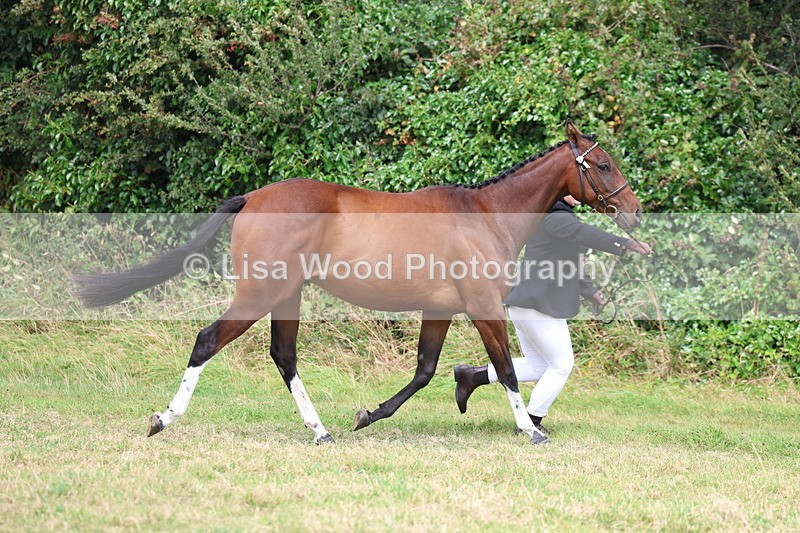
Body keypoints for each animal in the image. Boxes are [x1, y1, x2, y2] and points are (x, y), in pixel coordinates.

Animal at [74, 121, 642, 445]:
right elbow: (503, 368)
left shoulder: (440, 308)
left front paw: (369, 415)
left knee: (284, 356)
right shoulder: (483, 304)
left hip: (287, 295)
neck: (485, 215)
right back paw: (163, 419)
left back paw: (321, 431)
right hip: (259, 293)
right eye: (603, 164)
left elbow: (425, 371)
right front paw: (529, 430)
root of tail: (253, 197)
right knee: (207, 340)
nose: (634, 211)